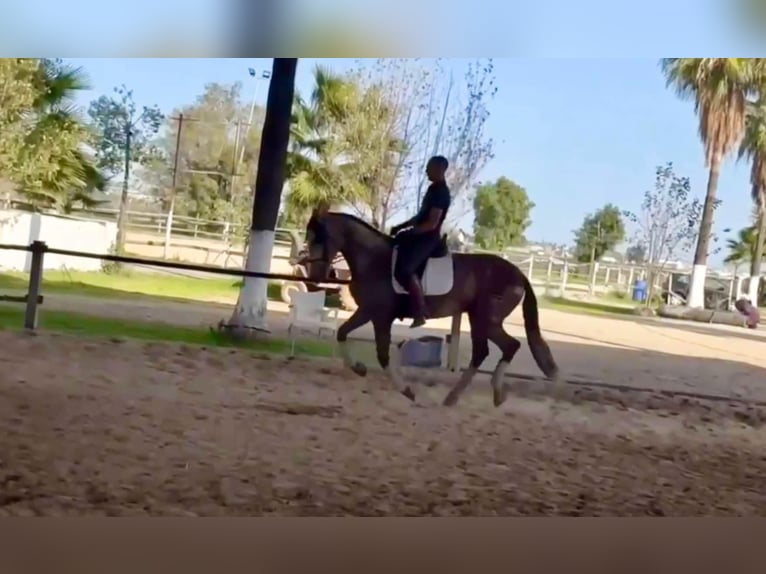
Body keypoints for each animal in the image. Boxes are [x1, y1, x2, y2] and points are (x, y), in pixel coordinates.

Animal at [304, 209, 560, 408]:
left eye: (319, 239)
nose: (315, 276)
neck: (375, 260)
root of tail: (519, 274)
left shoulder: (380, 316)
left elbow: (382, 354)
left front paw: (406, 390)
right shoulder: (368, 312)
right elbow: (342, 333)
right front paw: (358, 368)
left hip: (487, 319)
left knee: (509, 346)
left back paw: (492, 393)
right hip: (478, 318)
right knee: (484, 352)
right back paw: (456, 398)